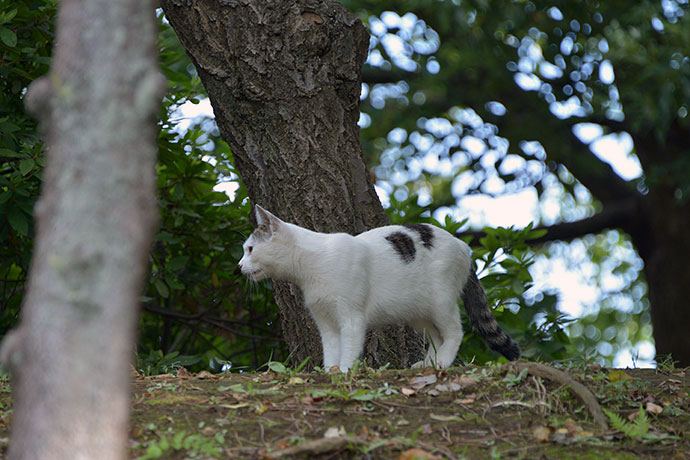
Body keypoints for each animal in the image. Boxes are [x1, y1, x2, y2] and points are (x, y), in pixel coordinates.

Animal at [236, 207, 516, 372]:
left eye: (250, 249)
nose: (239, 266)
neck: (311, 268)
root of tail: (463, 247)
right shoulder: (325, 321)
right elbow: (331, 351)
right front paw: (331, 372)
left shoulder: (351, 317)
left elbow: (349, 348)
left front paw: (344, 372)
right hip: (418, 312)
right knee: (438, 337)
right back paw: (427, 364)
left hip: (441, 302)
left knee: (455, 333)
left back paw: (441, 364)